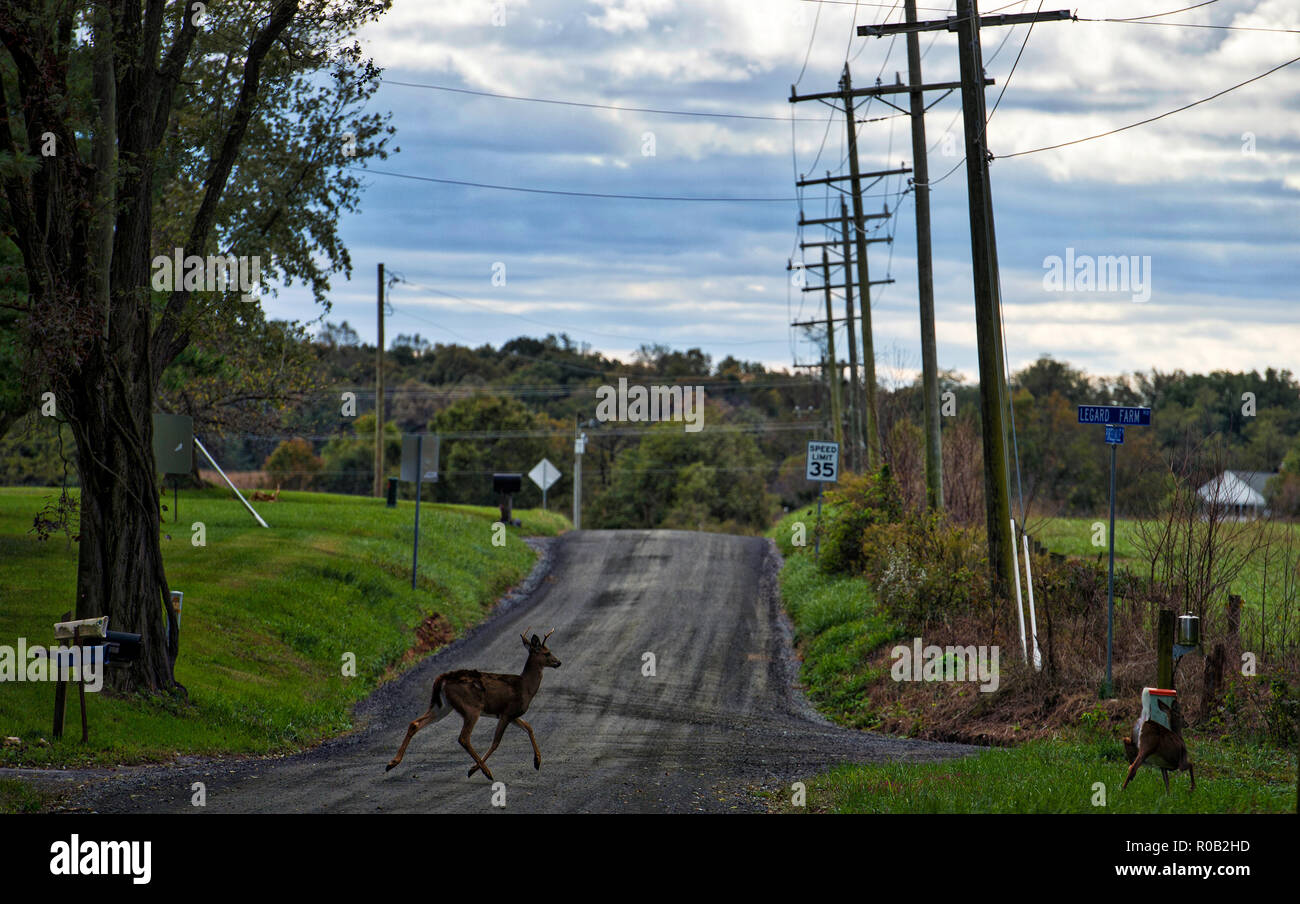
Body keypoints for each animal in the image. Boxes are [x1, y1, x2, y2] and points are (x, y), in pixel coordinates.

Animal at [379, 626, 559, 780]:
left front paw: (537, 761)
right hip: (471, 707)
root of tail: (442, 679)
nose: (559, 662)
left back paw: (392, 763)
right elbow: (496, 742)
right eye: (547, 653)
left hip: (442, 706)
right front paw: (473, 769)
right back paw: (486, 772)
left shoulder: (509, 714)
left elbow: (528, 727)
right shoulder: (507, 711)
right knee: (464, 738)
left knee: (415, 723)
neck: (525, 687)